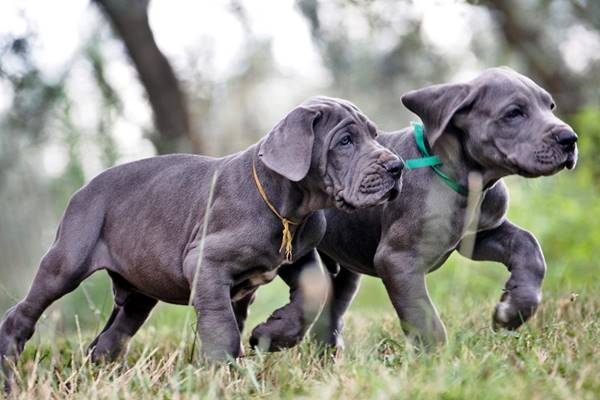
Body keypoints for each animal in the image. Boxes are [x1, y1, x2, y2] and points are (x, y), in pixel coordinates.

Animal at [1, 95, 404, 386]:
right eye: (346, 141)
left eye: (373, 135)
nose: (397, 167)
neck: (288, 206)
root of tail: (83, 188)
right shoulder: (205, 262)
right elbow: (222, 323)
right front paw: (224, 372)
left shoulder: (297, 256)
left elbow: (314, 291)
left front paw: (270, 334)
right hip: (67, 261)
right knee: (22, 312)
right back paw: (10, 365)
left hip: (139, 291)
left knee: (109, 340)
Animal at [248, 68, 576, 350]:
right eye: (514, 113)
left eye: (550, 106)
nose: (570, 139)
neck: (467, 180)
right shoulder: (398, 259)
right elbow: (424, 318)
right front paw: (437, 364)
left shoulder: (481, 234)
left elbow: (530, 246)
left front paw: (514, 308)